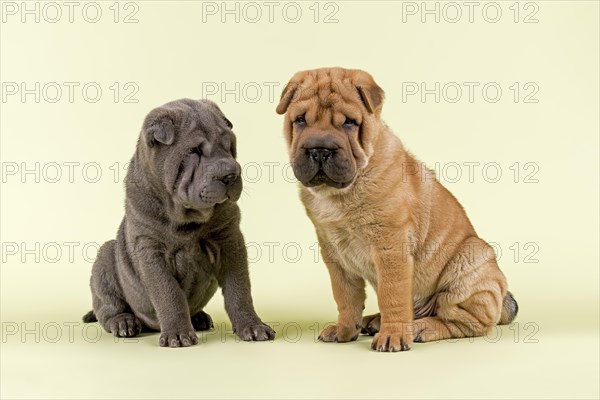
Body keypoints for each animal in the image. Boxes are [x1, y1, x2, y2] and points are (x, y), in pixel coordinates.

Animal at [82, 97, 274, 346]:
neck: (186, 219)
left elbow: (239, 289)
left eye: (228, 145)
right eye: (194, 151)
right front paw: (178, 335)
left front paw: (253, 327)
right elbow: (169, 294)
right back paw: (124, 322)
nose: (230, 174)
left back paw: (199, 318)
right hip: (106, 258)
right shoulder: (150, 250)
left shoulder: (230, 240)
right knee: (106, 308)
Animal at [276, 67, 516, 352]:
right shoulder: (334, 252)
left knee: (466, 322)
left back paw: (420, 327)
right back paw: (375, 321)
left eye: (349, 123)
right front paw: (344, 329)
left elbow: (392, 294)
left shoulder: (391, 245)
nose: (320, 150)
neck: (341, 193)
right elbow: (345, 295)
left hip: (471, 259)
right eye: (300, 120)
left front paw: (393, 336)